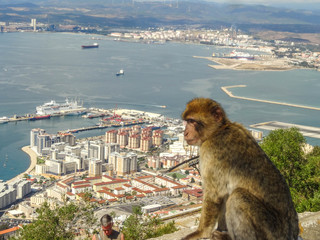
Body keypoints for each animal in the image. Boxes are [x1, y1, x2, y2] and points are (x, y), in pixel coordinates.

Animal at [181, 97, 298, 240]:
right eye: (187, 121)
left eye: (192, 121)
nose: (185, 132)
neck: (218, 130)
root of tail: (291, 234)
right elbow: (223, 194)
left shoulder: (210, 151)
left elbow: (214, 194)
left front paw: (201, 233)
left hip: (271, 231)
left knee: (237, 197)